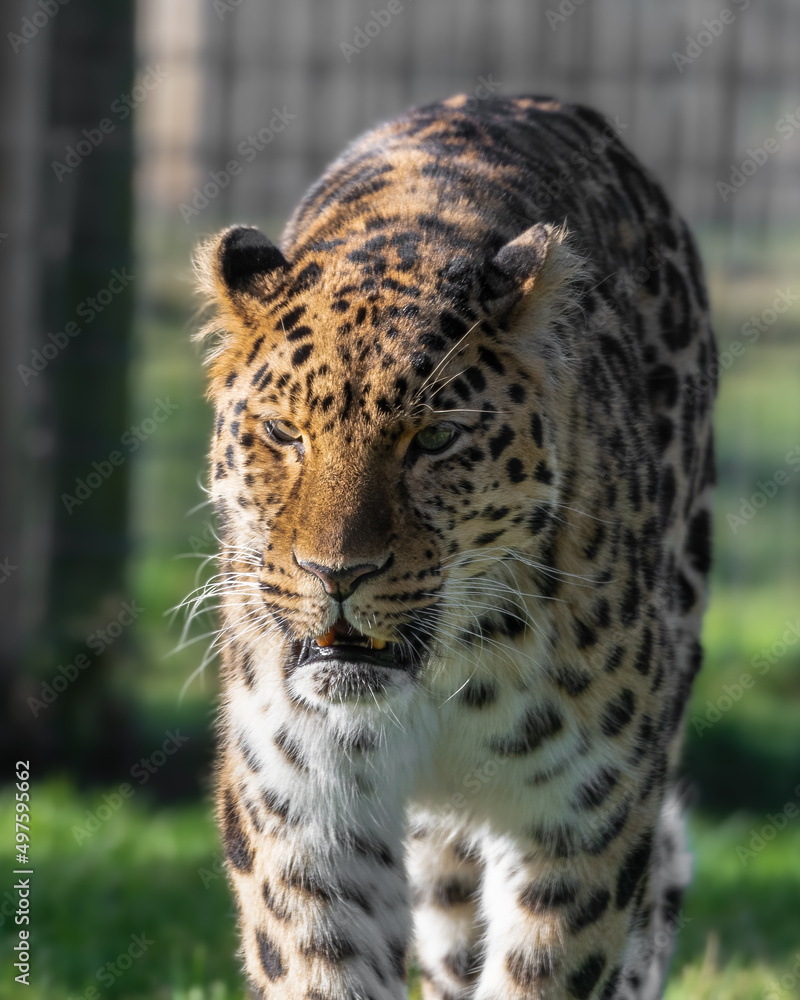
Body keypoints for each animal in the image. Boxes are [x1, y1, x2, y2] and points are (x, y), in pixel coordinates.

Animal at [192, 94, 716, 1000]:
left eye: (435, 439)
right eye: (285, 433)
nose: (335, 574)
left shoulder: (582, 815)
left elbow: (545, 971)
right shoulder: (303, 813)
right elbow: (320, 966)